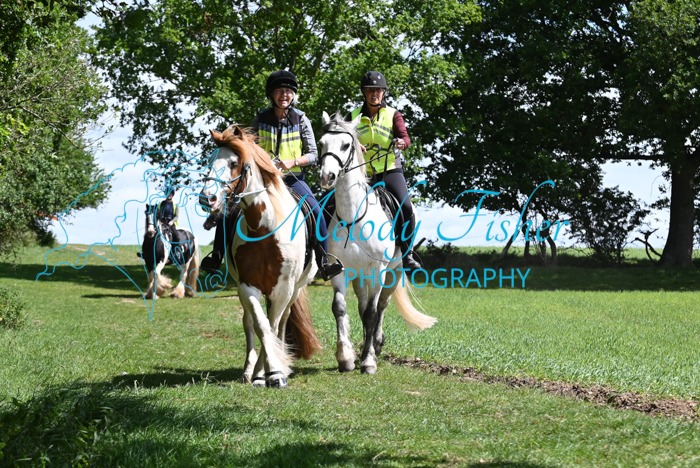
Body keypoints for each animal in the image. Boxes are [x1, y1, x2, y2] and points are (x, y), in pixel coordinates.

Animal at [198, 125, 322, 388]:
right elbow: (261, 326)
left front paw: (274, 372)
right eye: (210, 161)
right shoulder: (247, 285)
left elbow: (273, 327)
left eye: (234, 162)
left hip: (294, 290)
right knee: (249, 322)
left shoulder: (284, 288)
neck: (264, 229)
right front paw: (262, 373)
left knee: (282, 322)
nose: (207, 198)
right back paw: (250, 370)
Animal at [318, 111, 437, 374]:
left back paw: (376, 344)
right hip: (360, 277)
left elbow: (373, 312)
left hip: (392, 272)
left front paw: (369, 361)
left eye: (346, 145)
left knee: (381, 305)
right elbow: (340, 307)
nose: (326, 176)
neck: (353, 216)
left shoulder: (377, 270)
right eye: (321, 143)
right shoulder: (340, 270)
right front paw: (346, 358)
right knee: (362, 308)